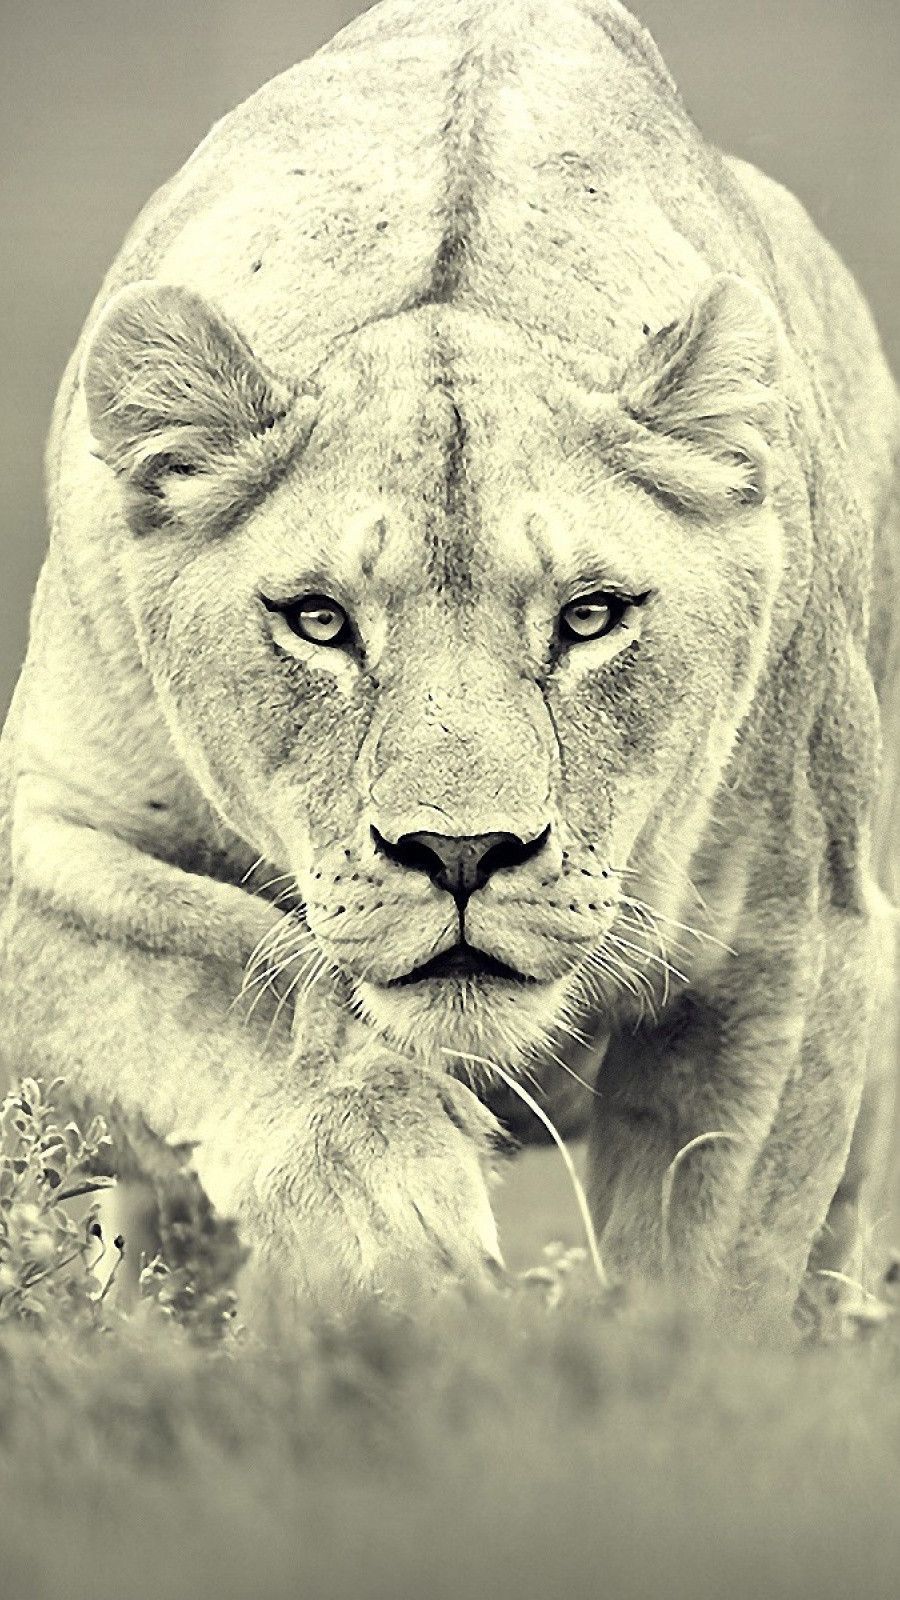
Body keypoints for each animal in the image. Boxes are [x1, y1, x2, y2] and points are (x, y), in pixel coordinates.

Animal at [0, 0, 897, 1329]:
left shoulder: (793, 948)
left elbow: (716, 1272)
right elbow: (232, 971)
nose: (462, 852)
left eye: (590, 616)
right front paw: (396, 1221)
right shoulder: (45, 841)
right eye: (320, 622)